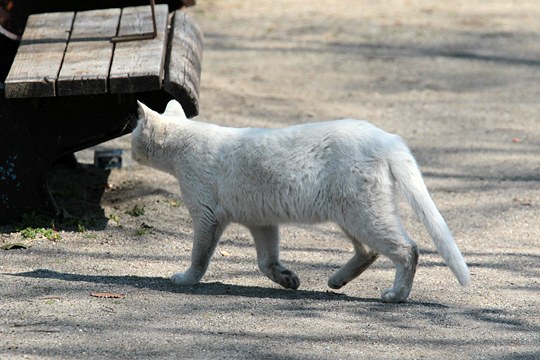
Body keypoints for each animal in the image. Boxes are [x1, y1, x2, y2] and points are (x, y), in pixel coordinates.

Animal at [131, 100, 468, 302]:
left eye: (133, 133)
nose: (130, 149)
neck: (183, 146)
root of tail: (387, 138)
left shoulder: (206, 217)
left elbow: (199, 257)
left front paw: (185, 279)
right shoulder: (261, 222)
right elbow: (266, 260)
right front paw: (287, 278)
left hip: (362, 214)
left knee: (407, 250)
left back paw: (396, 295)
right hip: (351, 216)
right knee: (369, 251)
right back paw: (337, 281)